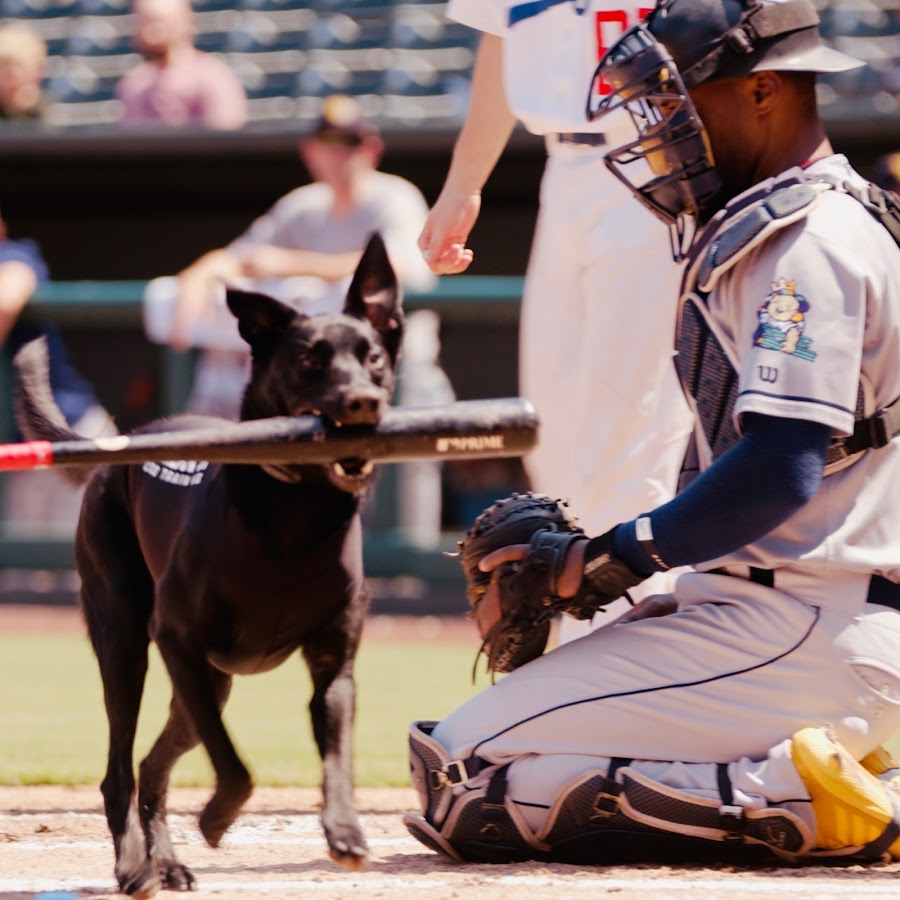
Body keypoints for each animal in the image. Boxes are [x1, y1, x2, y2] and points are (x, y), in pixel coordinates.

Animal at [12, 234, 400, 900]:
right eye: (309, 361)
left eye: (373, 357)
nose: (363, 401)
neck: (292, 520)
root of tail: (121, 446)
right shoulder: (178, 640)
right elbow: (235, 766)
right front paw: (217, 818)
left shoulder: (334, 668)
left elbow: (336, 754)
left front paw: (346, 831)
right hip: (126, 644)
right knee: (120, 768)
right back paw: (135, 867)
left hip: (208, 686)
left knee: (152, 764)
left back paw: (165, 862)